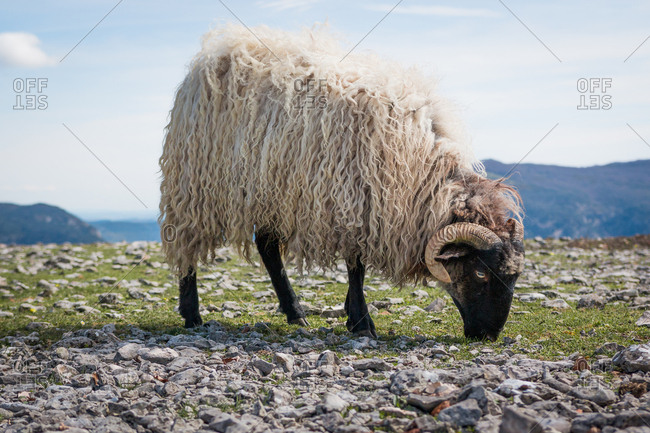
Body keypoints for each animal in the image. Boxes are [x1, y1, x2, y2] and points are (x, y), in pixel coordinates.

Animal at [159, 24, 525, 341]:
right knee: (186, 244)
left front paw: (352, 313)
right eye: (480, 273)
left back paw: (295, 313)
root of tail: (220, 48)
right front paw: (361, 321)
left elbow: (353, 269)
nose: (489, 335)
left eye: (515, 276)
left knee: (267, 248)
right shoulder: (355, 202)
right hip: (195, 183)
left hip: (270, 190)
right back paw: (191, 314)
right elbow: (356, 266)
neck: (418, 174)